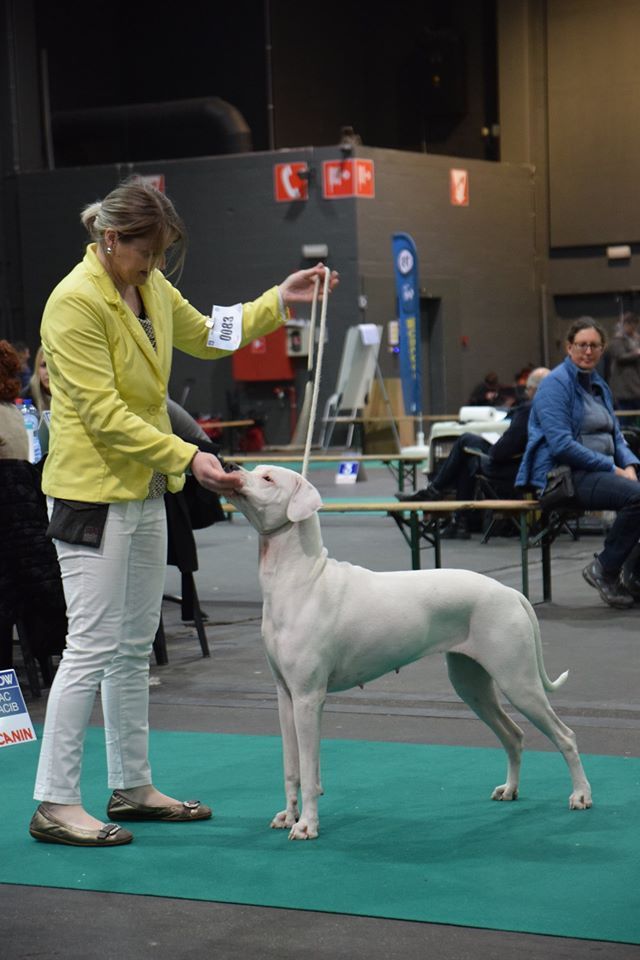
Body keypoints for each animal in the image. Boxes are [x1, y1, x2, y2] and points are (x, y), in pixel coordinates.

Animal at [228, 466, 592, 840]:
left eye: (268, 478)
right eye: (253, 471)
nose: (231, 468)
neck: (301, 579)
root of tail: (510, 592)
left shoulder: (308, 697)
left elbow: (310, 771)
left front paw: (307, 825)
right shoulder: (286, 697)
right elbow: (292, 768)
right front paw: (289, 816)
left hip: (519, 682)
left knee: (565, 736)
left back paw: (580, 795)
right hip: (472, 685)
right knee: (513, 736)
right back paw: (510, 789)